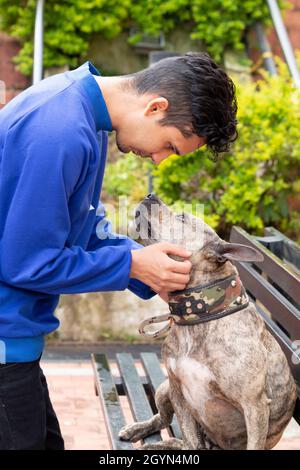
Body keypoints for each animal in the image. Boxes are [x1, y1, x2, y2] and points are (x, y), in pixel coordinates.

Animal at [118, 193, 296, 450]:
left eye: (182, 217)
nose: (151, 195)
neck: (201, 313)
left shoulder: (255, 406)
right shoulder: (177, 390)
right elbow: (190, 439)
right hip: (163, 389)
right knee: (164, 420)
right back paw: (141, 432)